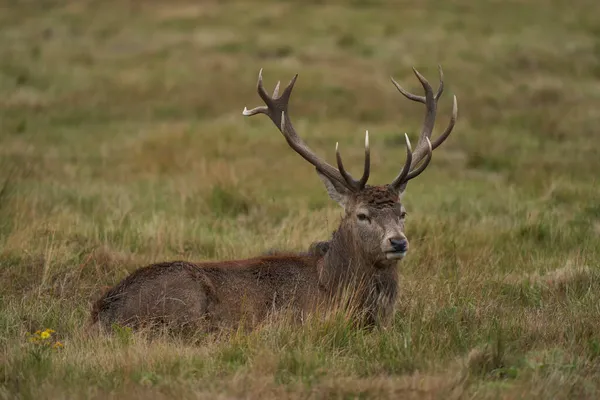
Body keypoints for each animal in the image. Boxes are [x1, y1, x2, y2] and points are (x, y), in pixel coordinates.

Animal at [90, 65, 454, 332]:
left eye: (402, 212)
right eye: (362, 215)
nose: (398, 242)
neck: (333, 285)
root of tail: (100, 313)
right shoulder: (295, 320)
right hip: (184, 302)